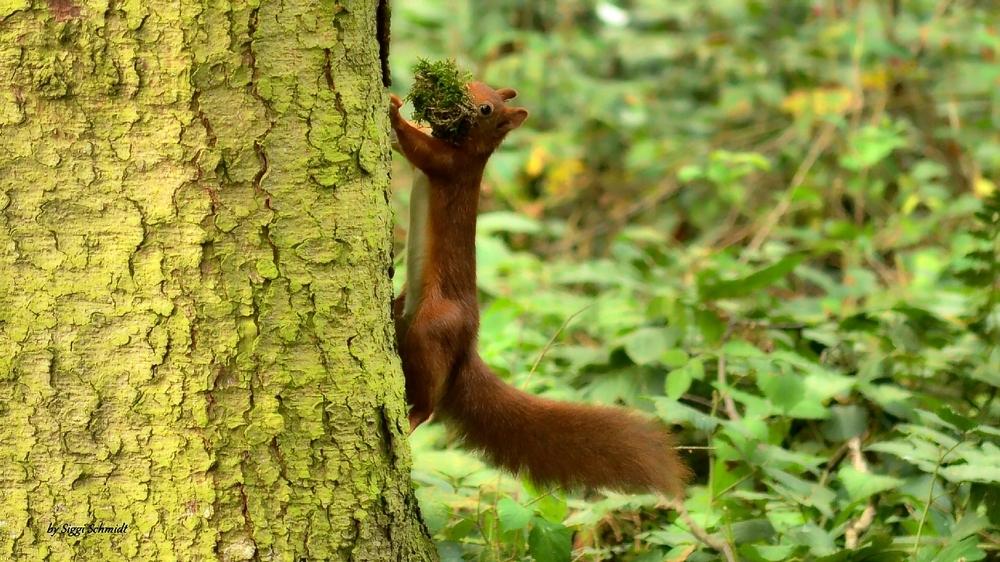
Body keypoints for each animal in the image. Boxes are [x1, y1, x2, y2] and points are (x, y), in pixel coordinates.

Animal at [388, 84, 688, 494]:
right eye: (474, 84)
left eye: (486, 108)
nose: (460, 95)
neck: (472, 148)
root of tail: (467, 345)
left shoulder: (454, 167)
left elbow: (420, 151)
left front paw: (394, 111)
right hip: (407, 314)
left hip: (436, 324)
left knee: (429, 400)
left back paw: (412, 417)